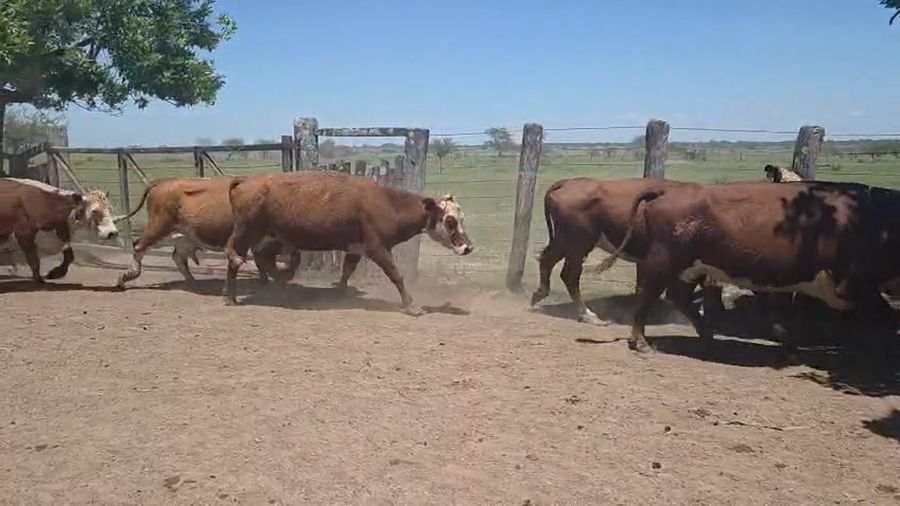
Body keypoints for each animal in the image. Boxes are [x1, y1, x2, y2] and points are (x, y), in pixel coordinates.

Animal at [113, 177, 301, 289]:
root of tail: (161, 182)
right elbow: (273, 260)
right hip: (159, 227)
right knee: (139, 246)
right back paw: (126, 277)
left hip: (182, 235)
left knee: (177, 257)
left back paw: (192, 282)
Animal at [222, 171, 474, 314]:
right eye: (450, 221)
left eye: (462, 219)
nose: (468, 247)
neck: (389, 204)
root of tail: (244, 181)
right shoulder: (377, 248)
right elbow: (396, 275)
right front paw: (411, 305)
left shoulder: (356, 248)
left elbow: (347, 270)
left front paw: (339, 294)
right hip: (247, 232)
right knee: (235, 258)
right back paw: (231, 297)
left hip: (276, 236)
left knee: (263, 256)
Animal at [529, 177, 725, 325]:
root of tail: (567, 182)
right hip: (578, 244)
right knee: (569, 274)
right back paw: (590, 316)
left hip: (567, 242)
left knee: (547, 260)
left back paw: (539, 295)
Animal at [596, 179, 900, 356]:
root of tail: (668, 189)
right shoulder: (855, 285)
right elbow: (887, 320)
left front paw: (791, 341)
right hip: (664, 261)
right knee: (647, 292)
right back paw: (640, 341)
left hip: (690, 267)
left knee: (678, 296)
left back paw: (708, 333)